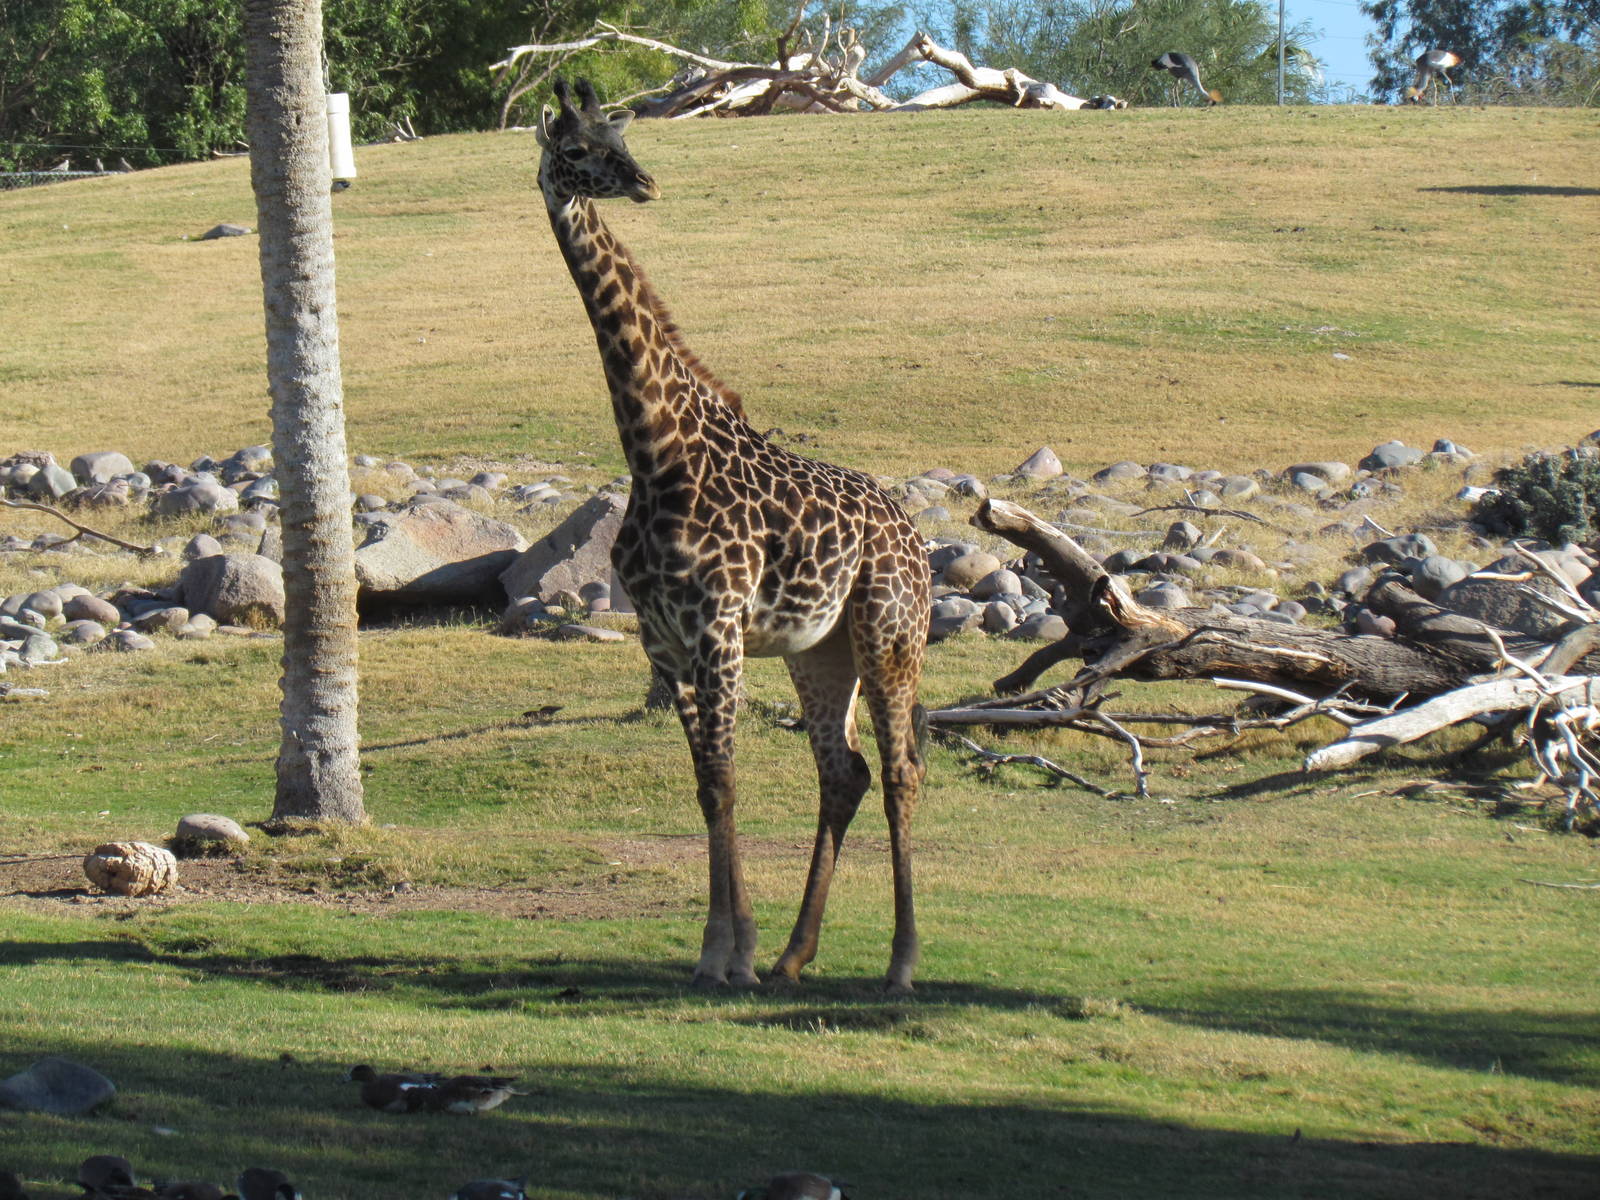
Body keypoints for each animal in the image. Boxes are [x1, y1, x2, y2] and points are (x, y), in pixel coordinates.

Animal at [533, 80, 932, 994]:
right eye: (576, 149)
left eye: (619, 138)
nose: (643, 182)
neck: (656, 450)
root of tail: (918, 541)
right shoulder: (664, 640)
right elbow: (706, 784)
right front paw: (720, 950)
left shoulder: (717, 626)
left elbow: (725, 775)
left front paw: (733, 954)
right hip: (821, 651)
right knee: (845, 771)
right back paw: (794, 954)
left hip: (889, 635)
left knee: (899, 770)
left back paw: (900, 964)